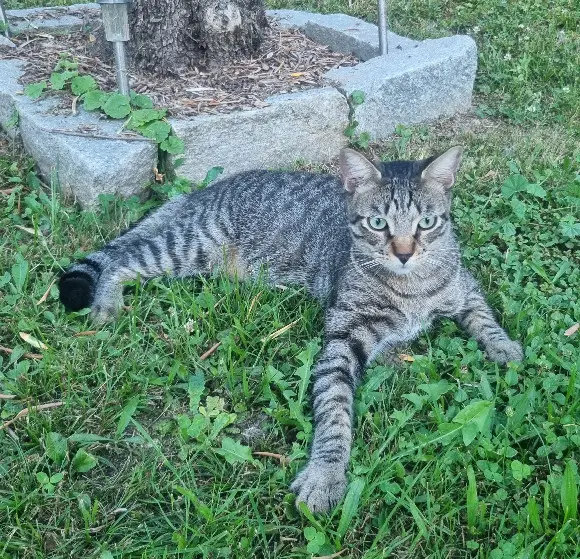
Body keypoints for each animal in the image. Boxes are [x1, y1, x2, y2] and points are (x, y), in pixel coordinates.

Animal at [60, 148, 524, 512]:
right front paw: (326, 474)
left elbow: (484, 317)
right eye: (378, 224)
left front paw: (504, 348)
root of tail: (207, 190)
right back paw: (106, 305)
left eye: (426, 223)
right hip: (189, 249)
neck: (412, 288)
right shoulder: (342, 337)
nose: (405, 254)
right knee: (122, 260)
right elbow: (335, 410)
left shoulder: (466, 288)